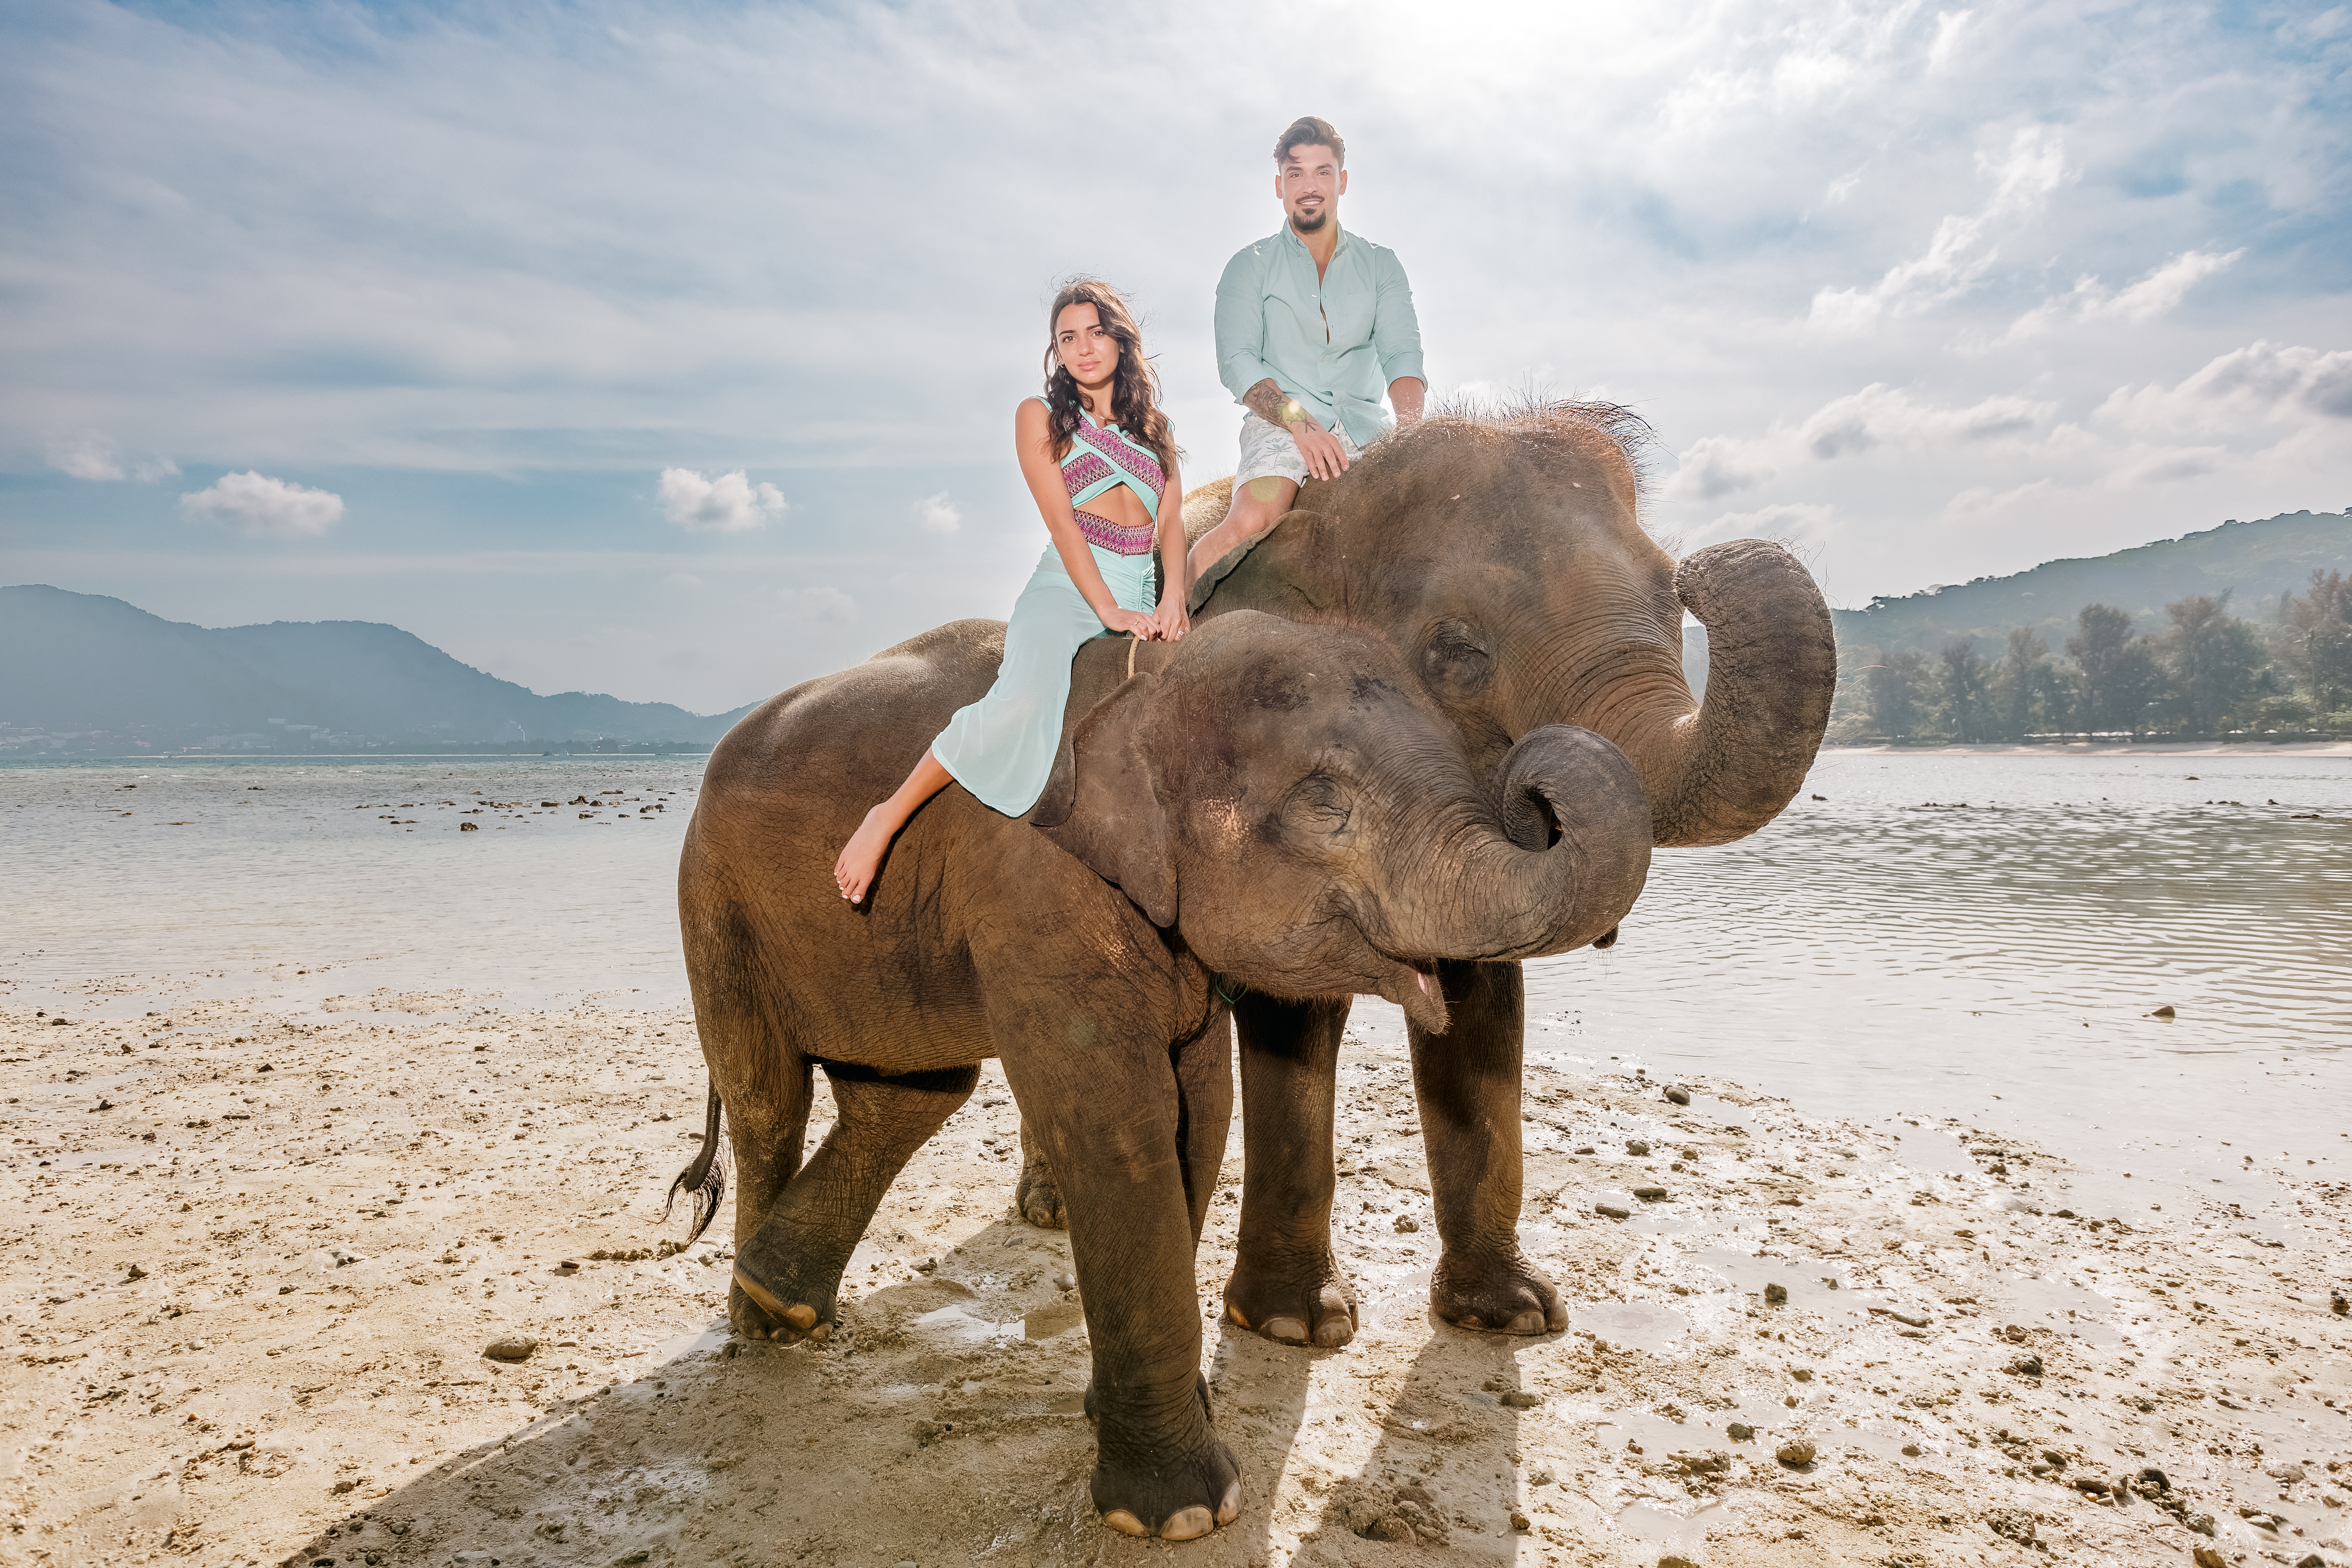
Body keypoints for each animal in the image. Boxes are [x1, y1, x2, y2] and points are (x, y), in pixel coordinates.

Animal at [668, 605, 1651, 1540]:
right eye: (1324, 800)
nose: (1531, 784)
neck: (1150, 679)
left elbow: (1200, 1109)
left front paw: (1128, 1422)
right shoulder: (1034, 887)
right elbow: (1121, 1122)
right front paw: (1177, 1513)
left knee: (911, 1092)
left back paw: (781, 1295)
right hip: (715, 906)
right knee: (770, 1101)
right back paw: (762, 1324)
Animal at [1013, 401, 1837, 1351]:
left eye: (1671, 597)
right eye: (1456, 652)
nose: (1709, 567)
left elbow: (1483, 1008)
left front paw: (1512, 1314)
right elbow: (1293, 1017)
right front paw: (1295, 1324)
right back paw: (1050, 1210)